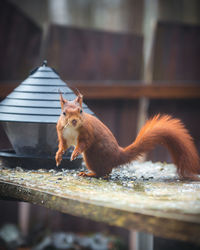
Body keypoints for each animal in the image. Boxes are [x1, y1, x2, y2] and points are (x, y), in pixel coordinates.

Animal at [55, 92, 200, 180]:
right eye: (63, 113)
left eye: (81, 111)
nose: (74, 121)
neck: (72, 128)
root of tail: (118, 155)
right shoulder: (62, 134)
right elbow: (63, 145)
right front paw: (58, 156)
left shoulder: (87, 132)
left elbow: (83, 143)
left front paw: (75, 153)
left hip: (92, 155)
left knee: (105, 173)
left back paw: (89, 173)